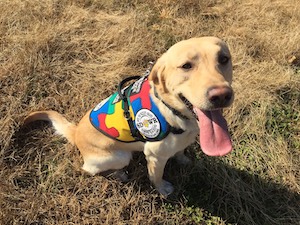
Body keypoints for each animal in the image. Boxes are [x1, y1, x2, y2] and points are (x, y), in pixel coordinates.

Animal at [24, 36, 234, 195]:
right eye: (186, 66)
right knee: (89, 170)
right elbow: (156, 177)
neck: (172, 111)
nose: (221, 95)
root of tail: (75, 133)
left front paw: (183, 160)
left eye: (224, 59)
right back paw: (118, 174)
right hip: (119, 156)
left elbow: (180, 151)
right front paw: (162, 189)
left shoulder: (182, 141)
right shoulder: (155, 156)